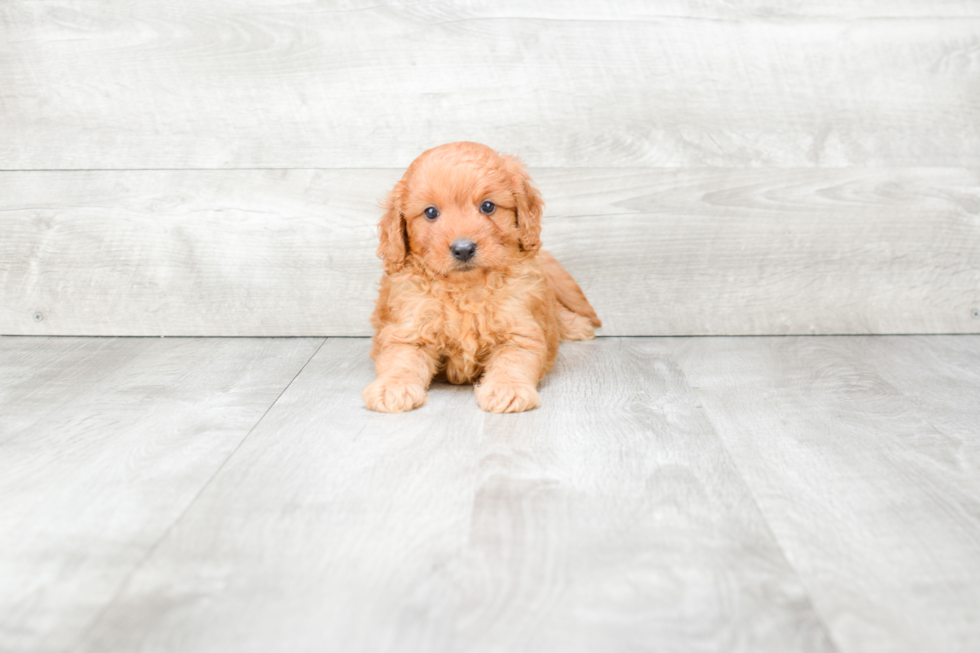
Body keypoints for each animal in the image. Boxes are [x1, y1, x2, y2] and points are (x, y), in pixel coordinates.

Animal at [364, 143, 600, 412]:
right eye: (430, 212)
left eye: (488, 207)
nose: (464, 249)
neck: (466, 290)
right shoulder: (408, 330)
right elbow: (401, 361)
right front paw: (393, 387)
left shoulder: (520, 330)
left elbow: (512, 361)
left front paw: (507, 388)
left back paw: (578, 326)